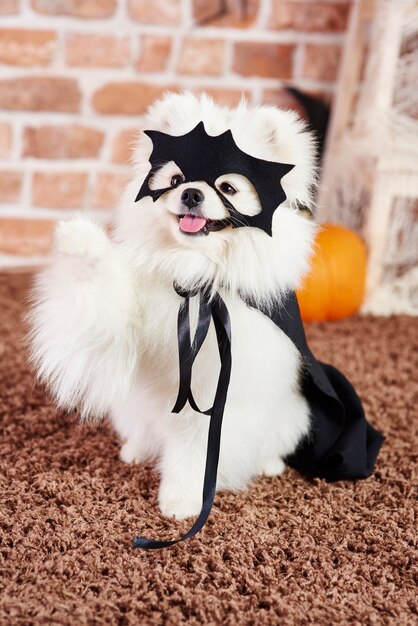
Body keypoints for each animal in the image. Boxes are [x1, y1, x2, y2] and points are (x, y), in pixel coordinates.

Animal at [28, 89, 316, 516]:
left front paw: (181, 499)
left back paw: (270, 464)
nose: (191, 193)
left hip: (290, 417)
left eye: (228, 189)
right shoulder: (124, 325)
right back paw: (136, 449)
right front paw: (80, 241)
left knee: (274, 442)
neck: (194, 273)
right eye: (176, 180)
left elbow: (196, 452)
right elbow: (102, 300)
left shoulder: (213, 392)